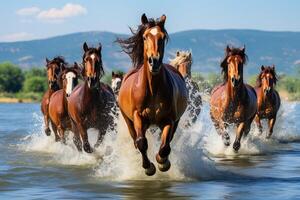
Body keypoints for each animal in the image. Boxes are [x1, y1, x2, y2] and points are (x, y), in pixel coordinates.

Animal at [116, 13, 188, 175]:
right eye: (144, 37)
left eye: (163, 37)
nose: (154, 61)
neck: (152, 89)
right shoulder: (138, 116)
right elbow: (141, 142)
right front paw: (149, 167)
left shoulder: (169, 119)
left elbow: (165, 146)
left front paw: (162, 162)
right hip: (129, 121)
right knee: (136, 140)